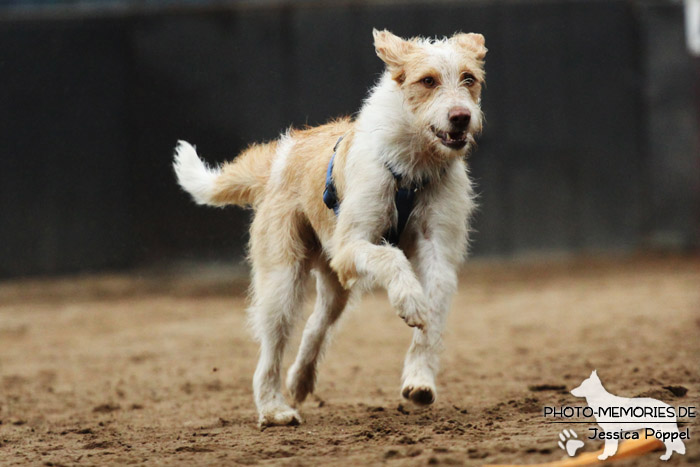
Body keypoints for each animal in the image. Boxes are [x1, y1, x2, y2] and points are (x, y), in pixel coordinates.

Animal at [172, 29, 486, 430]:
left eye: (469, 79)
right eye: (428, 81)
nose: (461, 117)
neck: (414, 164)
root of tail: (282, 156)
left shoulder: (438, 255)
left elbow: (429, 325)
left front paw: (420, 380)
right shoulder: (350, 245)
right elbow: (392, 258)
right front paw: (409, 300)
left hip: (335, 285)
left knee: (316, 325)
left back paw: (301, 380)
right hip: (283, 281)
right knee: (271, 347)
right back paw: (273, 407)